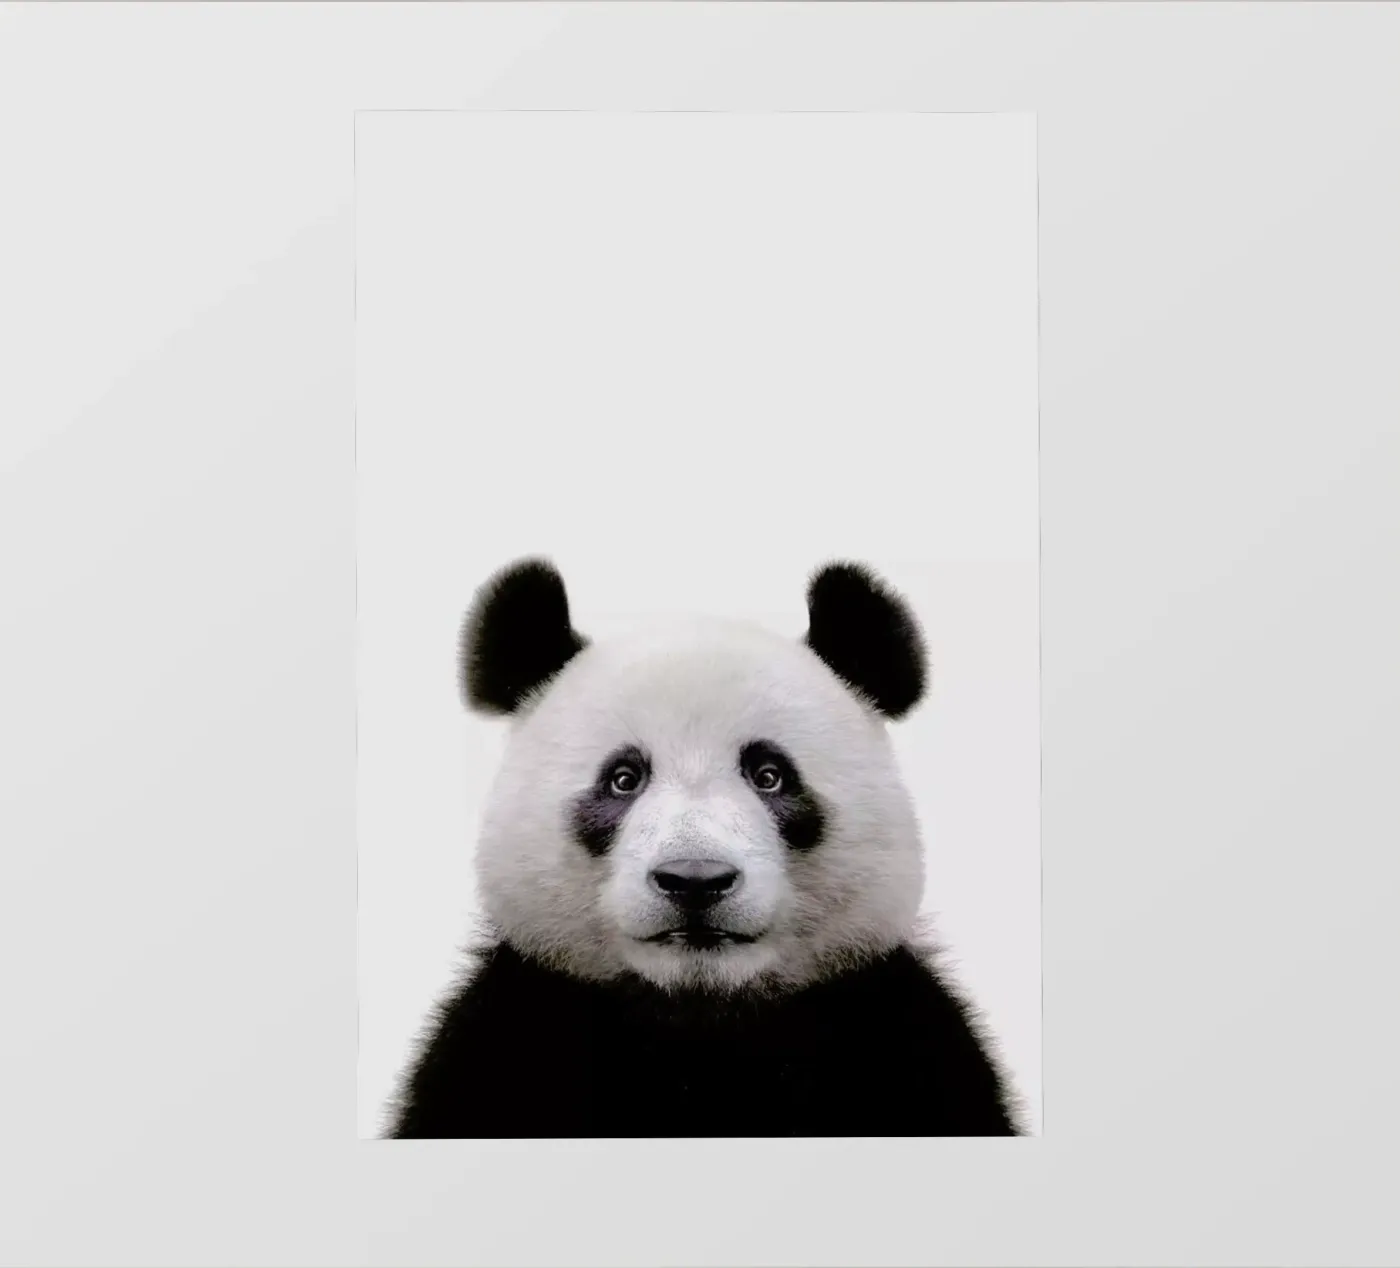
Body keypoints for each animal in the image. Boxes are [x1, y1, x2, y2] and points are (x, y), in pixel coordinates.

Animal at [388, 557, 1021, 1138]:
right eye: (623, 779)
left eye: (769, 775)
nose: (695, 879)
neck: (699, 1022)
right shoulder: (505, 1036)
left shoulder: (903, 1039)